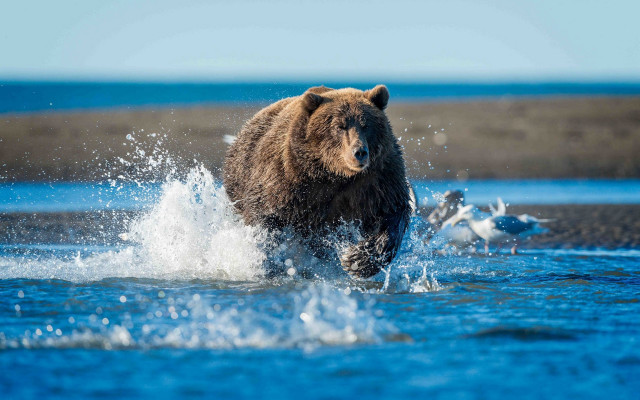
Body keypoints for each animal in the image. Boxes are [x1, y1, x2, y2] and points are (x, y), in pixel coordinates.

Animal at [223, 85, 411, 278]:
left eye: (366, 125)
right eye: (340, 126)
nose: (359, 152)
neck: (335, 174)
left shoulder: (378, 181)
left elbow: (393, 212)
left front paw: (357, 260)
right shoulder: (287, 179)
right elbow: (265, 215)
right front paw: (267, 260)